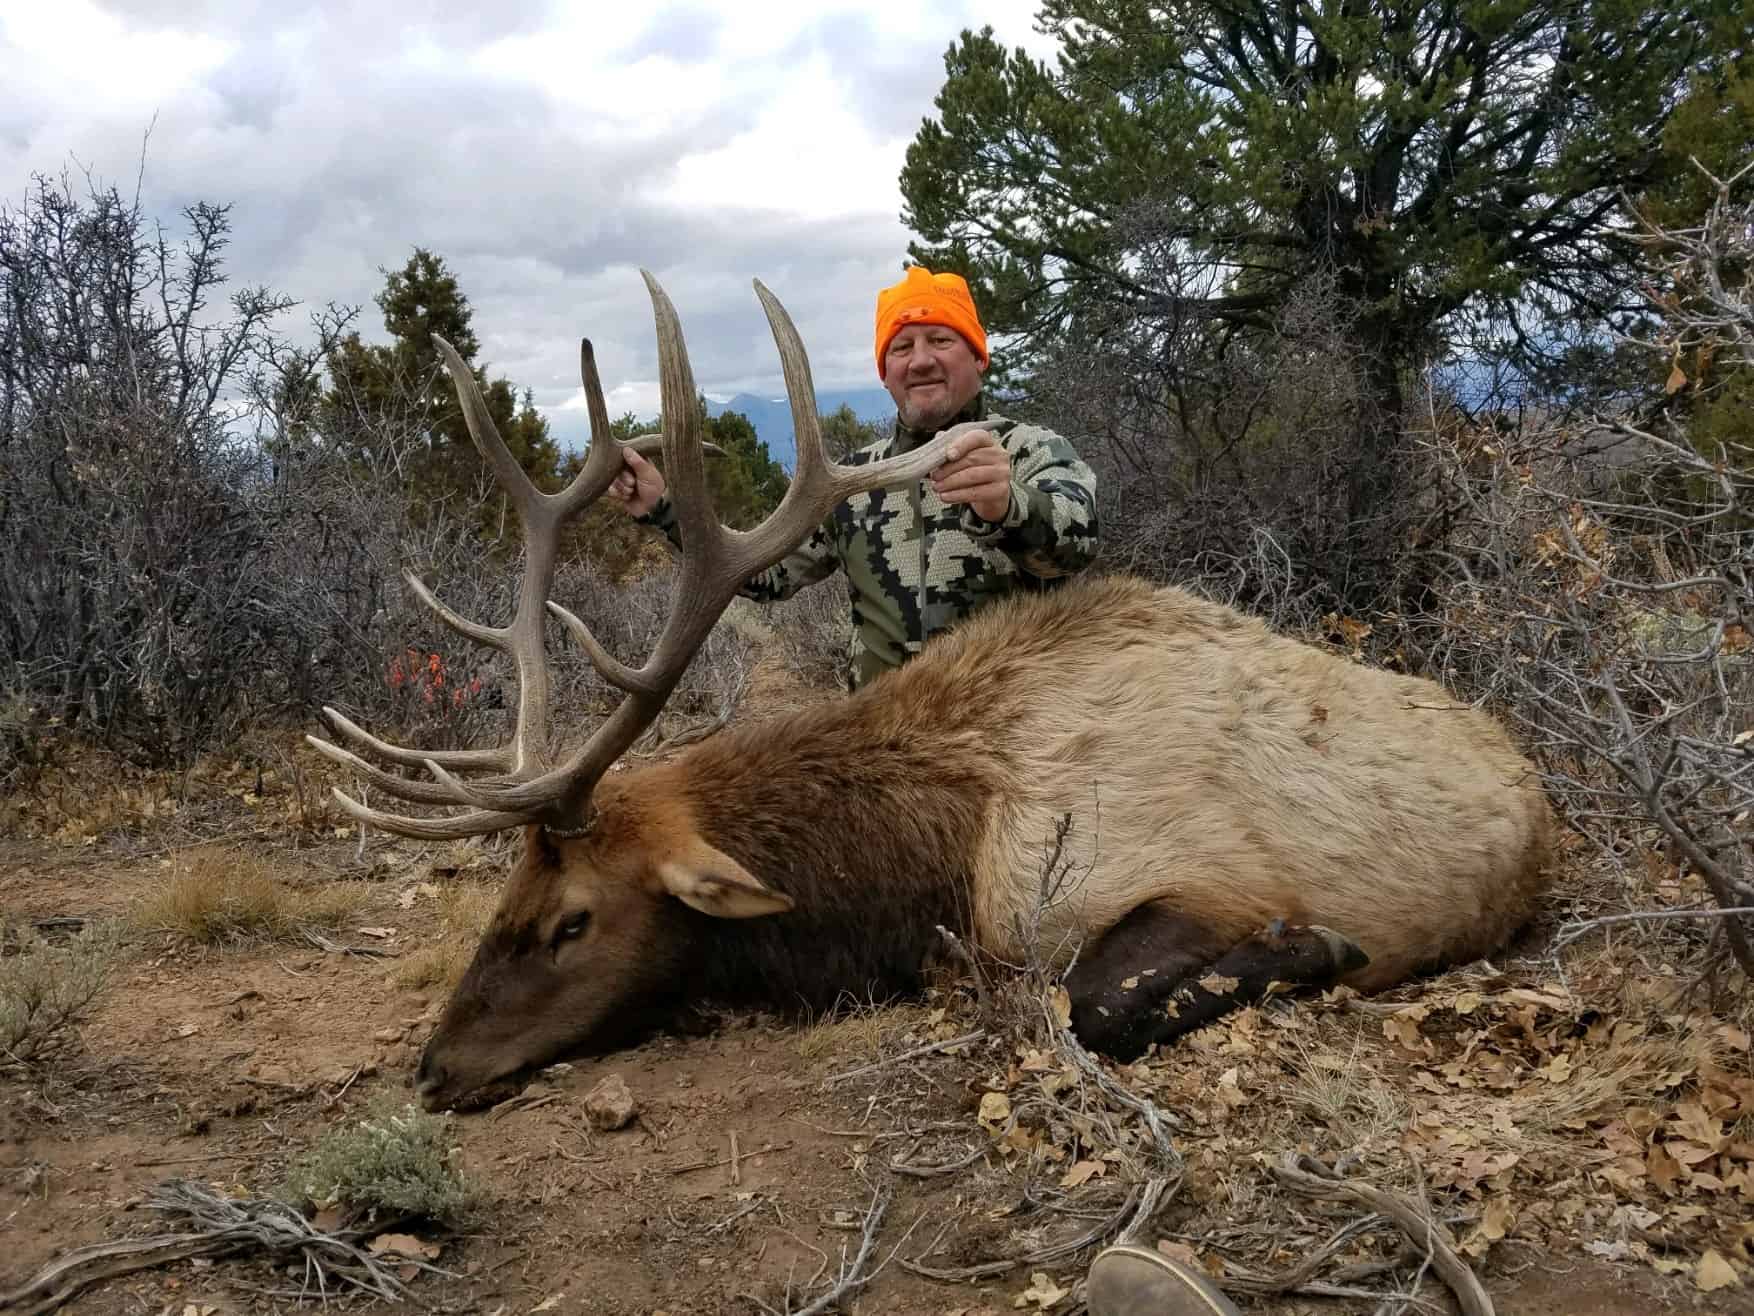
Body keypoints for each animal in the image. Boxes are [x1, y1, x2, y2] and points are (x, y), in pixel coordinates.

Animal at [307, 272, 1554, 1113]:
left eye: (572, 917)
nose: (435, 1065)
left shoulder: (1185, 876)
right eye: (501, 900)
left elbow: (1097, 1004)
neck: (922, 858)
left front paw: (1324, 947)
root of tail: (1538, 792)